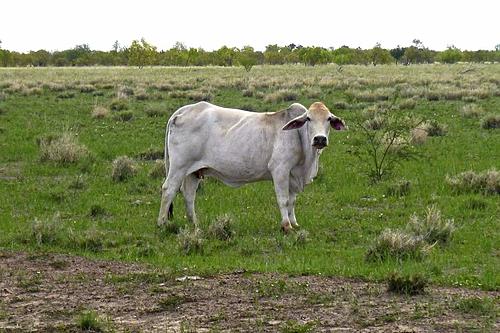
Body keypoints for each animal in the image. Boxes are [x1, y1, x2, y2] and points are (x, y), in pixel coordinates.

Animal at [158, 101, 346, 231]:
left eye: (329, 119)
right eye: (308, 119)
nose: (320, 139)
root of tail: (184, 110)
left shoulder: (293, 175)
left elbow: (292, 201)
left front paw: (294, 223)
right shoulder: (280, 170)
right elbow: (284, 200)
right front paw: (286, 226)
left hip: (194, 171)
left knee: (189, 195)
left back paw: (195, 224)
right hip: (179, 166)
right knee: (169, 190)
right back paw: (162, 223)